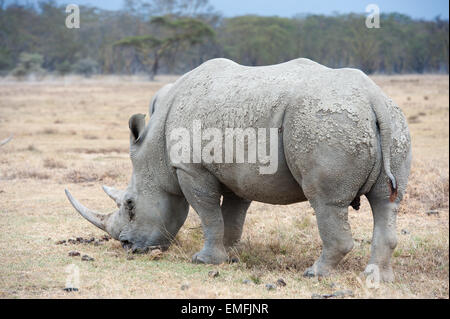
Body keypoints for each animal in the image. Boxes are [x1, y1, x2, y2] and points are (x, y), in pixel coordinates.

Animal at [66, 58, 412, 282]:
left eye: (130, 205)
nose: (128, 246)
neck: (155, 150)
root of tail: (371, 97)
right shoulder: (237, 174)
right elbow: (231, 217)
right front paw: (230, 257)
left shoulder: (191, 169)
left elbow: (208, 215)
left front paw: (203, 260)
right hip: (394, 121)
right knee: (387, 202)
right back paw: (378, 279)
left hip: (325, 122)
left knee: (325, 201)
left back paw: (314, 274)